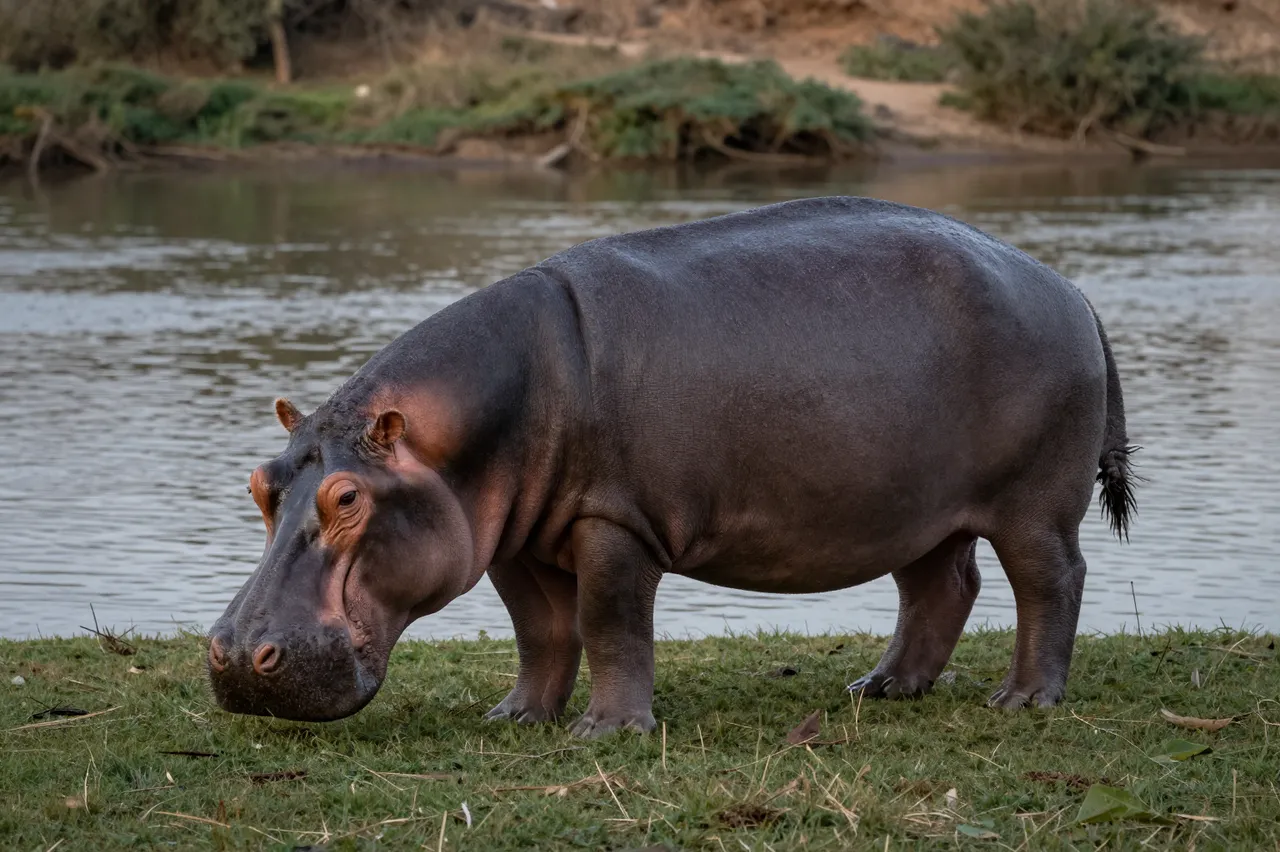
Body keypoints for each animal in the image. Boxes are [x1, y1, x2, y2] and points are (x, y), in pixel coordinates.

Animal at [208, 196, 1137, 736]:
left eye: (347, 498)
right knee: (942, 585)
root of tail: (1072, 290)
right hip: (916, 507)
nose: (236, 657)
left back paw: (1023, 701)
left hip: (1032, 504)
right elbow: (540, 632)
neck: (453, 434)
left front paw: (607, 733)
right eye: (259, 484)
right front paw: (515, 717)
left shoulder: (614, 521)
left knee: (1052, 580)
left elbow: (609, 625)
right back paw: (880, 689)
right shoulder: (511, 538)